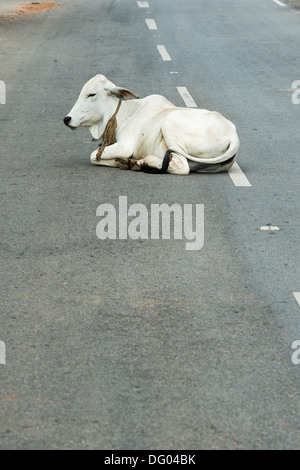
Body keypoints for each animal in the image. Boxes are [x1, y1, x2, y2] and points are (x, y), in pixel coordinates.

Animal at [63, 74, 239, 175]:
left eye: (91, 94)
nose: (67, 119)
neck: (127, 113)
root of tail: (233, 135)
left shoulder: (125, 146)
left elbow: (93, 156)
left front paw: (121, 161)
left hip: (170, 124)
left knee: (181, 167)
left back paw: (144, 162)